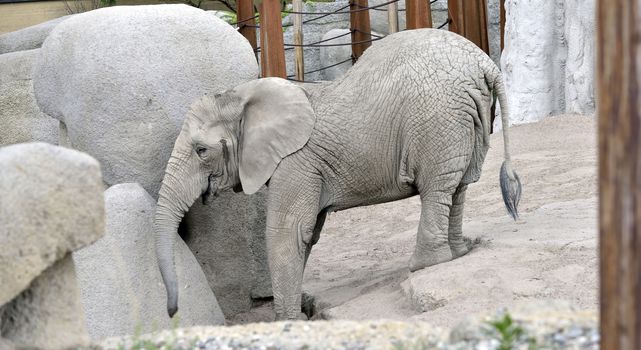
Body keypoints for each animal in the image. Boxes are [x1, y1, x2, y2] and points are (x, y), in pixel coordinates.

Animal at [155, 29, 520, 320]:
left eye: (201, 151)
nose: (172, 311)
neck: (244, 95)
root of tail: (483, 62)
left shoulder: (297, 162)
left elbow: (288, 232)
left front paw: (290, 322)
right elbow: (307, 234)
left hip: (438, 119)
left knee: (437, 189)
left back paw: (425, 263)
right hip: (468, 116)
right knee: (458, 186)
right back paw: (459, 252)